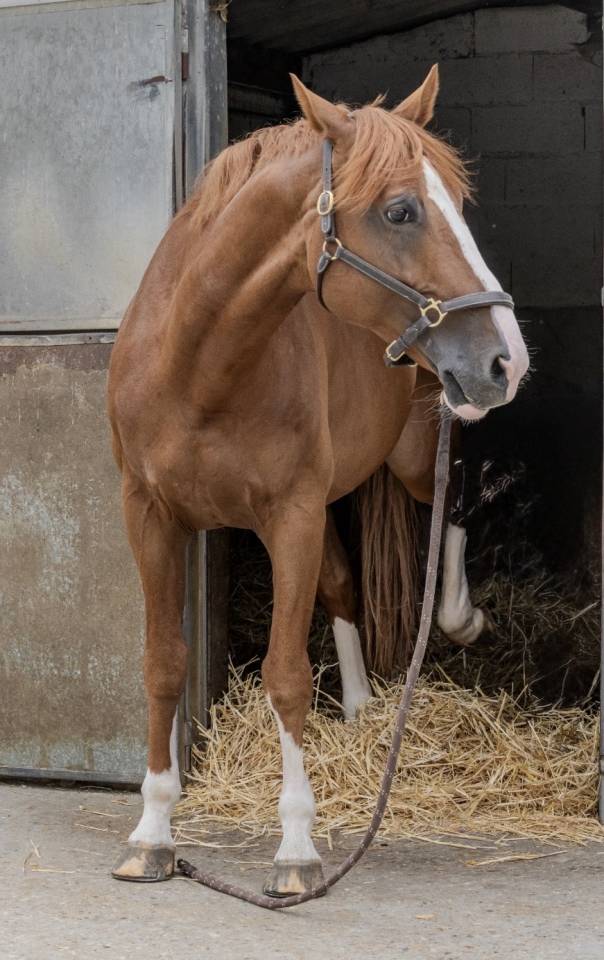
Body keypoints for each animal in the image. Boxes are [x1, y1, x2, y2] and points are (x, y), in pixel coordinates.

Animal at [107, 65, 529, 895]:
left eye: (460, 207)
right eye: (400, 210)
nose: (508, 358)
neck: (199, 364)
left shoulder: (291, 516)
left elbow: (286, 676)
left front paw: (297, 849)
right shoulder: (152, 515)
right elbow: (163, 663)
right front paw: (152, 832)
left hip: (418, 446)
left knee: (455, 501)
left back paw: (460, 618)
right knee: (342, 584)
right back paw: (364, 707)